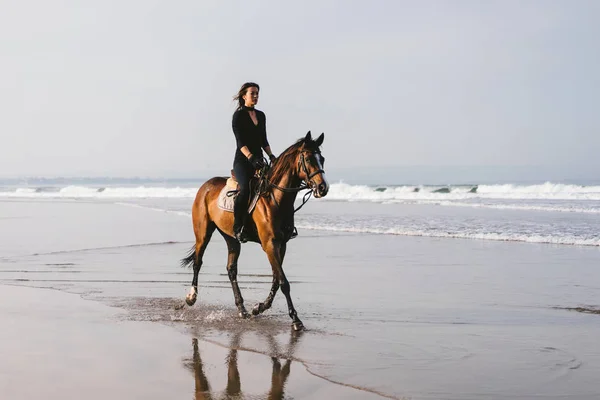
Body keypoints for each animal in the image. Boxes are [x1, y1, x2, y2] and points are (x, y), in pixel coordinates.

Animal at [180, 131, 330, 332]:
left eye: (322, 159)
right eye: (307, 158)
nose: (323, 188)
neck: (275, 198)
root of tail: (206, 185)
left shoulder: (282, 244)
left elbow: (276, 279)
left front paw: (259, 308)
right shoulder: (270, 244)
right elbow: (283, 282)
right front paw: (295, 319)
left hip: (231, 238)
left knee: (231, 269)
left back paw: (242, 309)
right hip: (203, 233)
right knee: (198, 262)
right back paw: (191, 297)